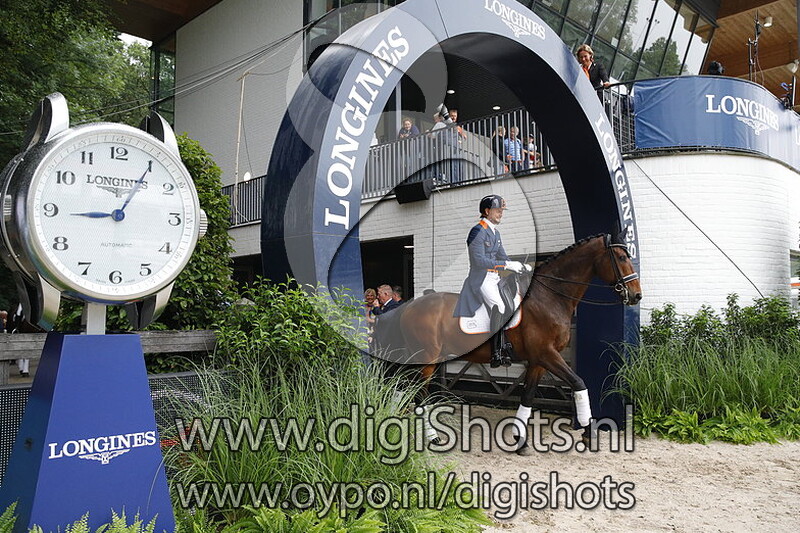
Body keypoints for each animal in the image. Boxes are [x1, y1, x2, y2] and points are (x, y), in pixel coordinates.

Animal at [372, 233, 642, 453]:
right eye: (621, 256)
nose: (636, 295)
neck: (550, 296)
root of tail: (408, 306)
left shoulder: (538, 361)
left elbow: (528, 397)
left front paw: (520, 441)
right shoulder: (547, 354)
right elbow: (579, 383)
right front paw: (587, 433)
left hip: (421, 357)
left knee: (402, 385)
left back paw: (392, 424)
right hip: (426, 358)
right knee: (418, 394)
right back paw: (431, 437)